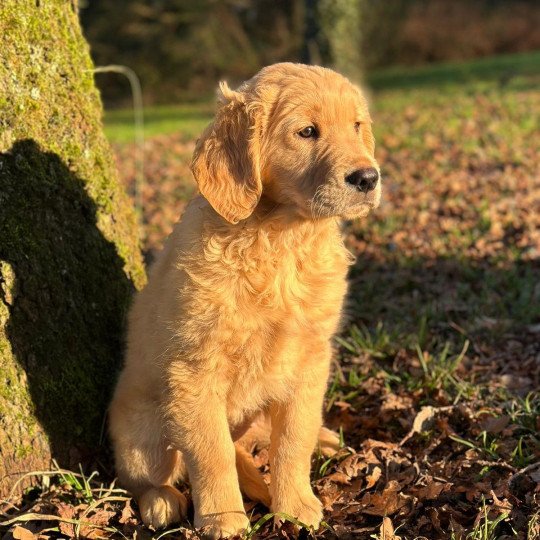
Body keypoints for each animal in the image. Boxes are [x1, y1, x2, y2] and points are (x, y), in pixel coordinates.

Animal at [108, 62, 380, 536]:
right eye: (307, 132)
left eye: (357, 126)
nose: (368, 178)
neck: (281, 240)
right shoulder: (194, 371)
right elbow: (211, 452)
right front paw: (224, 519)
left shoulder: (309, 359)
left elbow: (292, 438)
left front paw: (295, 505)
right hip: (142, 427)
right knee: (149, 473)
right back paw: (161, 501)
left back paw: (324, 438)